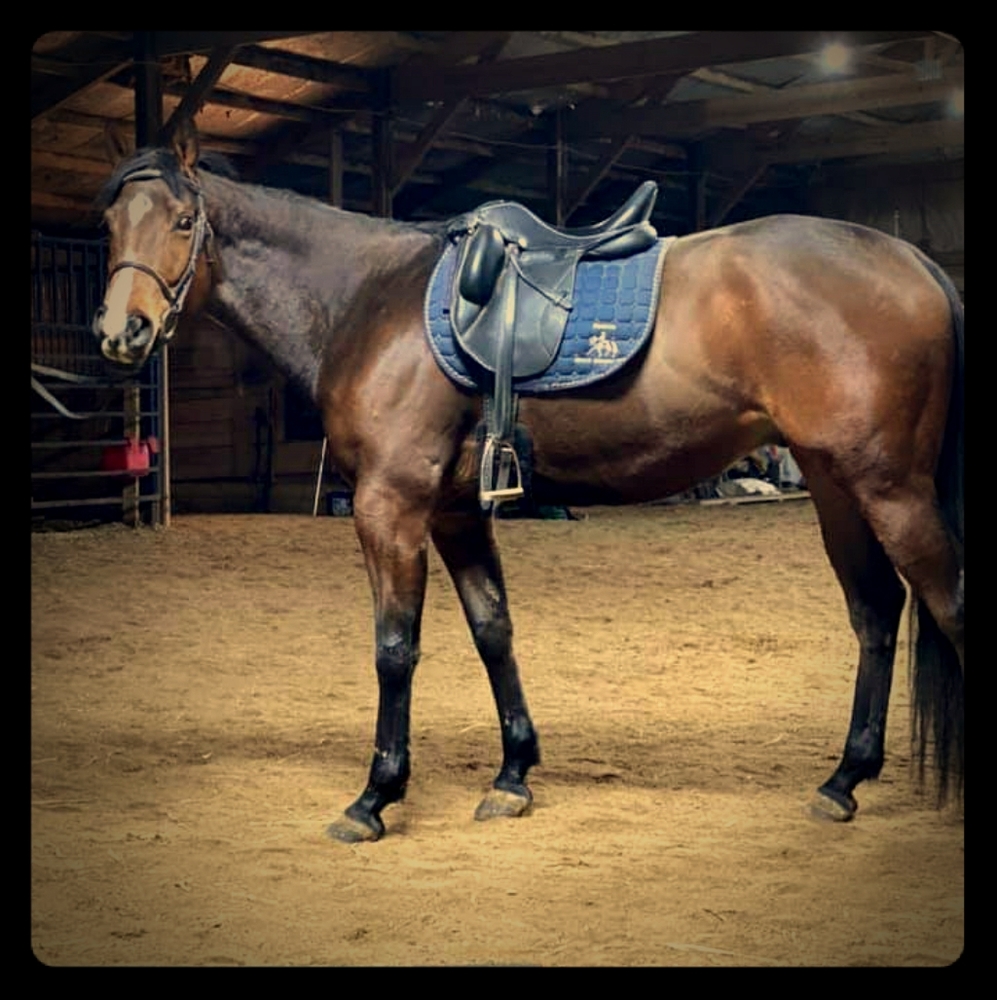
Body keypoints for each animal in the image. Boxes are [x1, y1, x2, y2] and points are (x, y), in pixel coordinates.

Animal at [92, 122, 963, 842]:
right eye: (110, 224)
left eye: (181, 223)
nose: (120, 332)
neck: (368, 299)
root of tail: (912, 258)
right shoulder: (454, 511)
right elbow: (493, 630)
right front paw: (512, 775)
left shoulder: (390, 504)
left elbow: (394, 648)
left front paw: (375, 797)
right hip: (833, 482)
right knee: (875, 612)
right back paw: (842, 781)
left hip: (887, 485)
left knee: (942, 604)